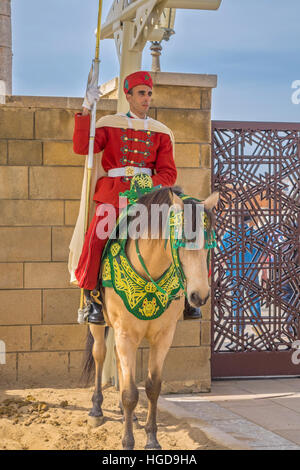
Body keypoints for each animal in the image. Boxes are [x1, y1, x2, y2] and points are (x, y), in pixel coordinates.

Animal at [81, 185, 218, 450]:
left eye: (210, 242)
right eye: (181, 241)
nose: (199, 296)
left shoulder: (163, 336)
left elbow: (152, 387)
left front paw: (152, 439)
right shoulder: (126, 334)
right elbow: (130, 393)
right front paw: (127, 441)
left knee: (119, 364)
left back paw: (128, 415)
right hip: (101, 325)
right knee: (101, 354)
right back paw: (96, 410)